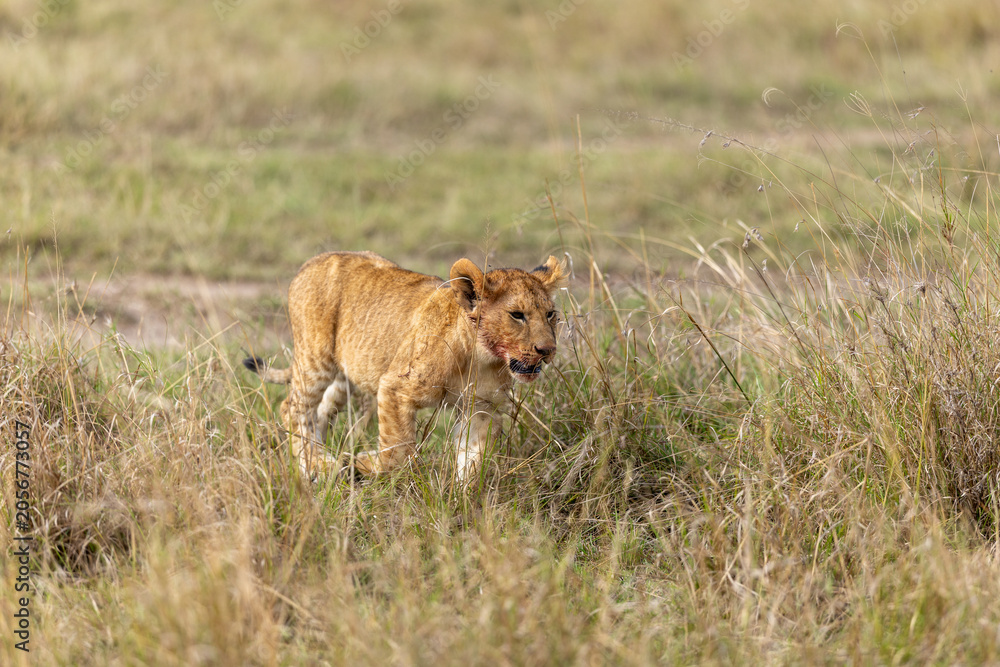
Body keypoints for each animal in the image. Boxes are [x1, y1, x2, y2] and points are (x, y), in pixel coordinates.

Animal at [243, 251, 567, 481]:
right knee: (293, 408)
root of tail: (310, 262)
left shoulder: (481, 408)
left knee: (320, 412)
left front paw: (462, 506)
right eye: (517, 315)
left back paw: (321, 460)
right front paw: (359, 464)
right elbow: (397, 453)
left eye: (550, 314)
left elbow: (473, 463)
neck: (481, 357)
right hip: (315, 358)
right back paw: (314, 465)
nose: (548, 350)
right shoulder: (395, 387)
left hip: (347, 374)